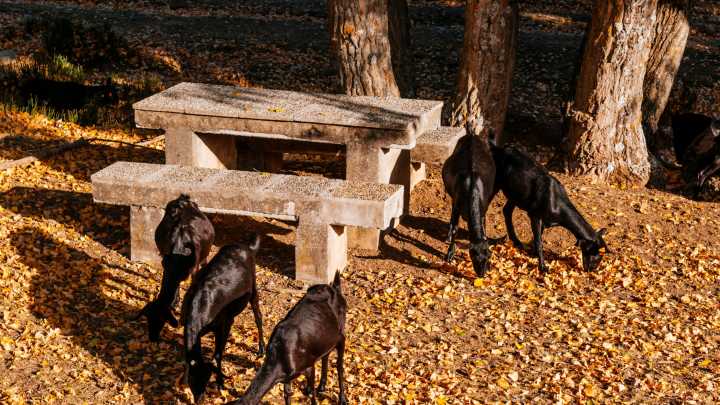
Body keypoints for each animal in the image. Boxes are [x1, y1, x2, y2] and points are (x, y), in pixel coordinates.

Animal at [137, 194, 215, 342]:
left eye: (161, 320)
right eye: (148, 318)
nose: (152, 338)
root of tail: (183, 200)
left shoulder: (193, 271)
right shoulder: (166, 265)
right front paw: (174, 302)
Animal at [182, 236, 264, 403]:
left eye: (206, 381)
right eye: (194, 381)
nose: (200, 400)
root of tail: (247, 247)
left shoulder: (224, 324)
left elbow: (218, 355)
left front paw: (220, 383)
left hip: (253, 287)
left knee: (258, 316)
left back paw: (261, 350)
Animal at [226, 272, 347, 405]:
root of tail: (336, 289)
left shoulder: (309, 365)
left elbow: (311, 394)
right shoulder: (287, 377)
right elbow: (287, 394)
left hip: (341, 332)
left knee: (339, 365)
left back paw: (342, 398)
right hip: (326, 337)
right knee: (326, 354)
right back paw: (322, 386)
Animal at [441, 127, 497, 277]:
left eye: (488, 256)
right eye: (473, 256)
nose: (482, 274)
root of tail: (471, 135)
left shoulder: (483, 210)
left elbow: (484, 229)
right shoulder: (456, 205)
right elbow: (455, 227)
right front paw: (450, 253)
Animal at [490, 144, 608, 273]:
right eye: (595, 253)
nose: (592, 269)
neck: (559, 209)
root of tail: (497, 148)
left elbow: (537, 239)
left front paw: (532, 254)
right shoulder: (534, 215)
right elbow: (538, 242)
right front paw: (543, 267)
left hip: (515, 194)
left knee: (506, 211)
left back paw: (517, 242)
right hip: (496, 183)